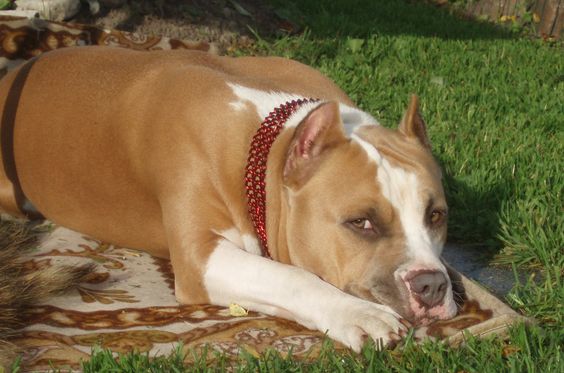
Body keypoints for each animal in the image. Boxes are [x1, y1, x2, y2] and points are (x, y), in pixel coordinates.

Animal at [0, 45, 458, 348]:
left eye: (436, 216)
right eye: (361, 222)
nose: (432, 285)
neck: (271, 141)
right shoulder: (200, 258)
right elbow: (289, 276)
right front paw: (357, 313)